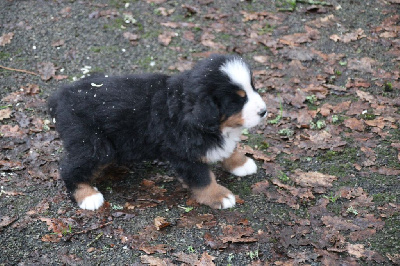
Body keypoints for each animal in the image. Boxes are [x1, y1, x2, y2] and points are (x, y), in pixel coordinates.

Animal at [48, 55, 268, 211]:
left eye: (253, 87)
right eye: (237, 100)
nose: (264, 111)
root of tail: (60, 97)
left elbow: (229, 148)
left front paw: (241, 163)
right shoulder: (184, 153)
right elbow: (203, 178)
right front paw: (219, 196)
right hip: (92, 144)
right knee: (69, 168)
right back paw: (88, 196)